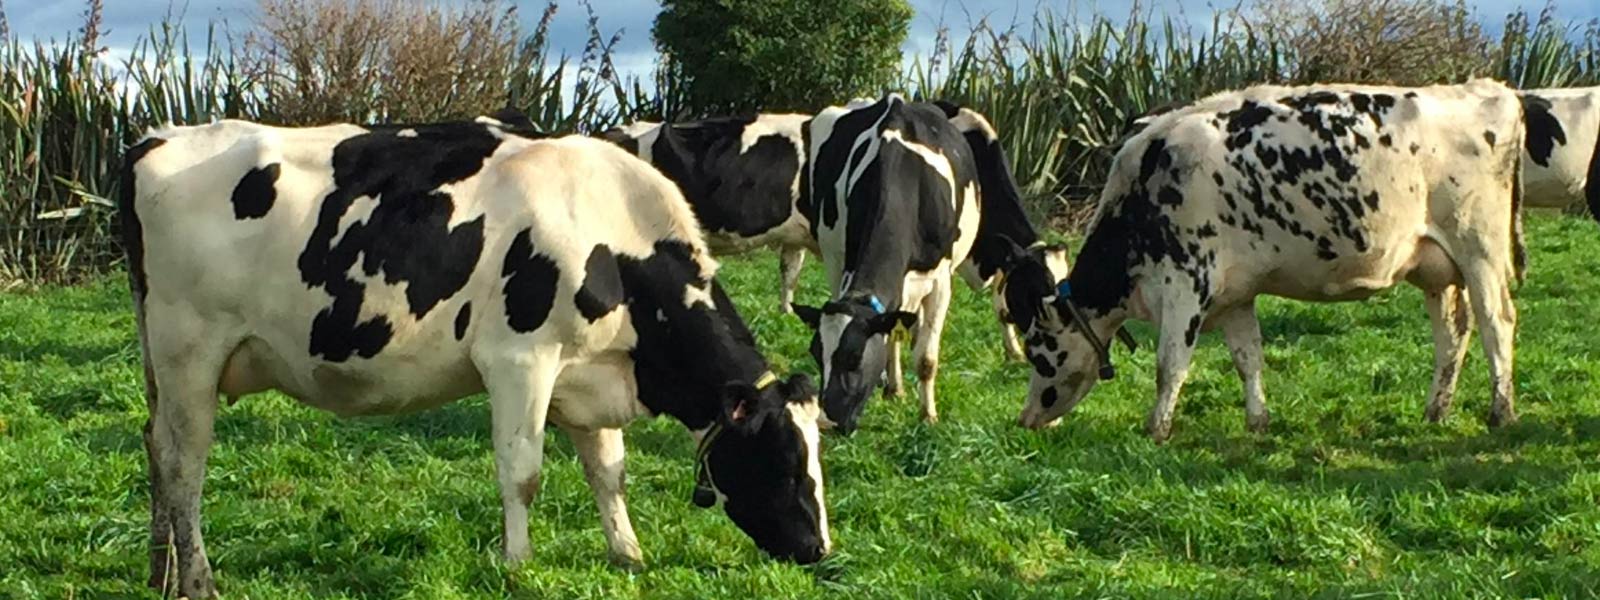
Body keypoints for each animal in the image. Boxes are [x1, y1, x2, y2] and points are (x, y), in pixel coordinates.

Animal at [790, 95, 979, 432]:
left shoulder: (940, 280)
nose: (826, 421)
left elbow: (926, 358)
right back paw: (894, 387)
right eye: (815, 353)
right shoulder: (841, 260)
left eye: (854, 357)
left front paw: (928, 416)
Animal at [998, 80, 1523, 441]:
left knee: (1497, 322)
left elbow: (1170, 363)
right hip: (1437, 268)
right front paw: (1257, 420)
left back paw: (1501, 412)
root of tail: (1490, 90)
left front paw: (1156, 428)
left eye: (1040, 349)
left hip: (1480, 249)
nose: (1026, 418)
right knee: (1452, 334)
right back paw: (1436, 410)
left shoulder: (1187, 283)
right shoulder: (1234, 294)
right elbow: (1248, 358)